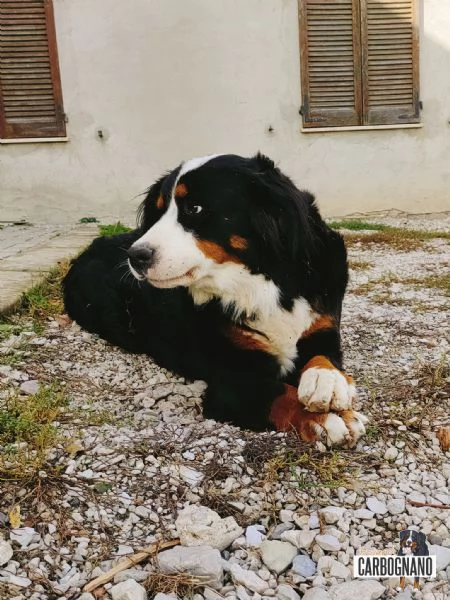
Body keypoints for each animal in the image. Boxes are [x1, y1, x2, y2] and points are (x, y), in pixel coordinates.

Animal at [62, 154, 366, 446]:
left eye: (194, 208)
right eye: (158, 212)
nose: (136, 256)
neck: (262, 285)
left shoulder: (321, 324)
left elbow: (323, 357)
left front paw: (327, 383)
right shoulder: (232, 380)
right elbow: (280, 393)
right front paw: (329, 420)